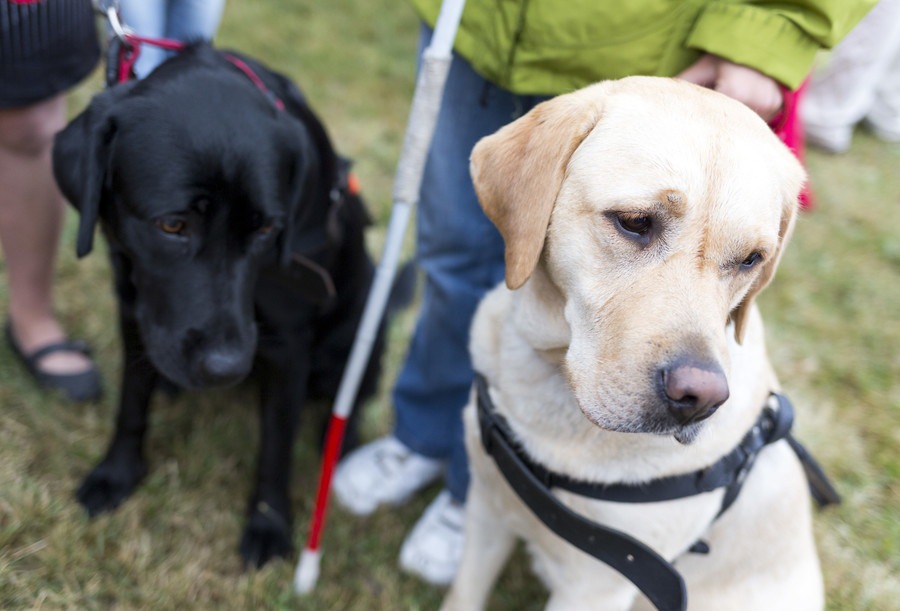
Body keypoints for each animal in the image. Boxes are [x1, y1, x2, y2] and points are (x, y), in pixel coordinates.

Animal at [53, 43, 394, 568]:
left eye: (267, 229)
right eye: (172, 225)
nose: (226, 368)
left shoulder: (289, 344)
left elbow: (276, 445)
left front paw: (269, 525)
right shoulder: (136, 308)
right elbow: (131, 403)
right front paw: (116, 474)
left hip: (362, 324)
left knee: (354, 391)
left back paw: (340, 444)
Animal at [442, 76, 828, 611]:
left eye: (751, 259)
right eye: (634, 221)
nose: (700, 399)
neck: (553, 388)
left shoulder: (597, 586)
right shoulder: (487, 509)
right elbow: (463, 593)